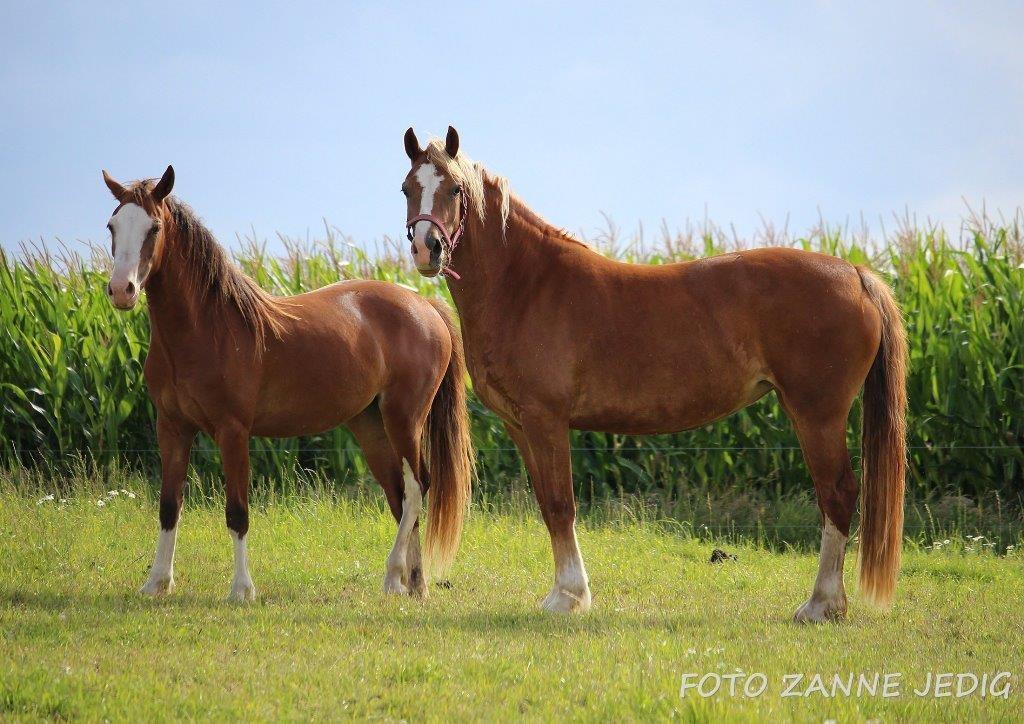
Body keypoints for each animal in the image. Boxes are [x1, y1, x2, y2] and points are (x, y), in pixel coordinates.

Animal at [397, 125, 905, 622]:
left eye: (456, 189)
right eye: (406, 188)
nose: (427, 248)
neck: (526, 286)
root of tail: (855, 274)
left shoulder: (547, 420)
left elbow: (562, 505)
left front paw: (569, 597)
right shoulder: (520, 425)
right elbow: (547, 504)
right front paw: (563, 593)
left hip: (817, 414)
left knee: (837, 495)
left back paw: (821, 604)